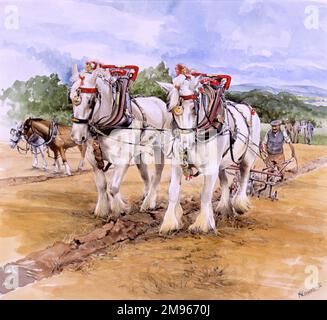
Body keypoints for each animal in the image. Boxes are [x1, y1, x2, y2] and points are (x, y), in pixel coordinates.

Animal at [69, 66, 172, 219]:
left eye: (90, 101)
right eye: (71, 99)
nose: (77, 136)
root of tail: (159, 102)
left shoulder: (123, 158)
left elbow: (113, 187)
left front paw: (120, 209)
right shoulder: (93, 158)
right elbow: (101, 185)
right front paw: (102, 210)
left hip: (159, 146)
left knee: (157, 173)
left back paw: (149, 202)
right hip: (138, 152)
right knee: (144, 172)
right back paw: (146, 194)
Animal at [158, 77, 262, 232]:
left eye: (194, 108)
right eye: (173, 109)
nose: (184, 143)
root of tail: (249, 108)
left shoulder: (211, 166)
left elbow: (206, 194)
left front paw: (202, 224)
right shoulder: (177, 163)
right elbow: (173, 191)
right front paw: (170, 223)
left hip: (248, 155)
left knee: (244, 175)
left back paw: (239, 204)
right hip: (222, 162)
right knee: (225, 181)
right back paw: (225, 207)